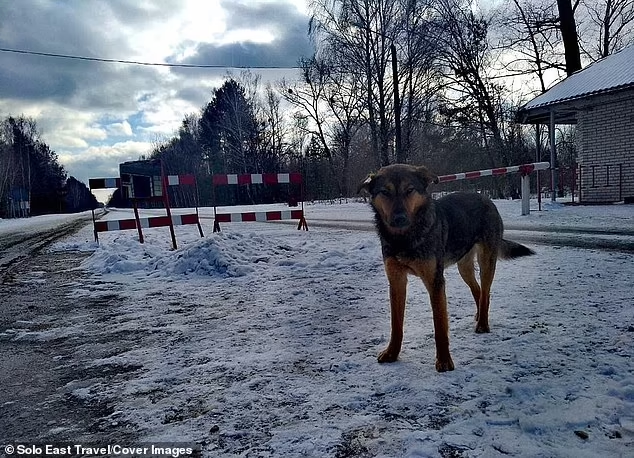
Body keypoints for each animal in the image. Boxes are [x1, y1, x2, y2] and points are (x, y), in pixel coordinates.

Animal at [358, 165, 532, 372]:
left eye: (410, 190)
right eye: (385, 192)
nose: (399, 219)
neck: (404, 239)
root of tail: (485, 198)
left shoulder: (435, 282)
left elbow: (440, 325)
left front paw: (444, 361)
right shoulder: (396, 282)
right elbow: (396, 325)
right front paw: (392, 353)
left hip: (486, 261)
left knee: (486, 291)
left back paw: (482, 323)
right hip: (464, 267)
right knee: (479, 291)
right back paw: (479, 315)